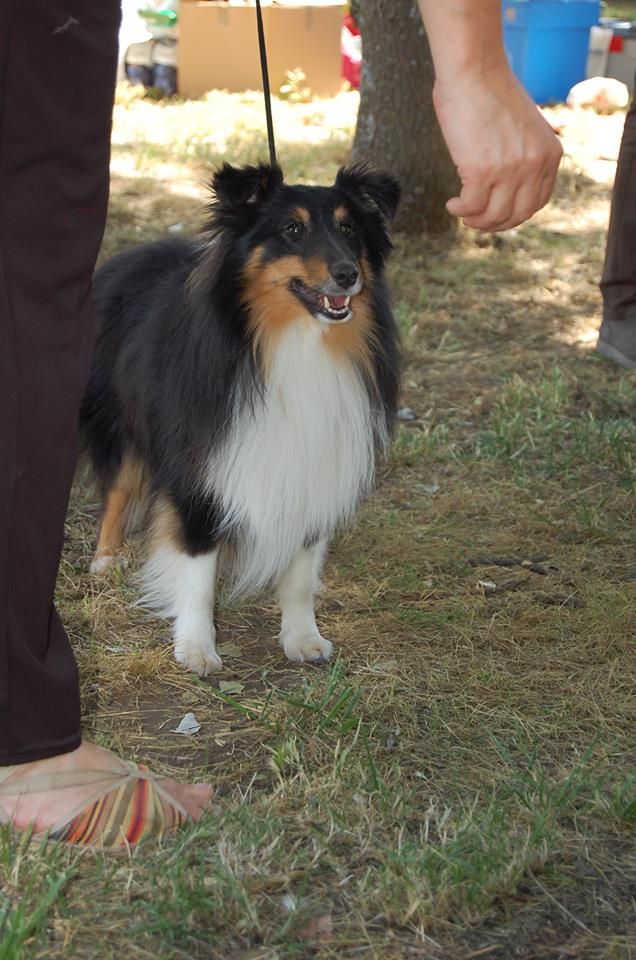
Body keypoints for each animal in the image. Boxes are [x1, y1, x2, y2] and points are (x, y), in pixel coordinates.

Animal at [79, 163, 398, 676]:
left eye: (350, 229)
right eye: (293, 230)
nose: (347, 275)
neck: (290, 341)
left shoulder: (314, 464)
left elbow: (301, 571)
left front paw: (302, 637)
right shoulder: (198, 469)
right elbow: (196, 566)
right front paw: (195, 646)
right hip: (120, 423)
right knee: (118, 488)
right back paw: (106, 559)